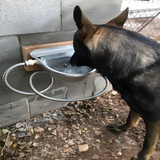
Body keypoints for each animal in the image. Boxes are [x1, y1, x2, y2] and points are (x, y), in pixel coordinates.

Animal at [70, 5, 160, 160]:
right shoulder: (136, 105)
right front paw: (120, 129)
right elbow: (131, 121)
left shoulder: (154, 119)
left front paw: (141, 157)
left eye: (74, 45)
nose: (69, 61)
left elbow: (147, 146)